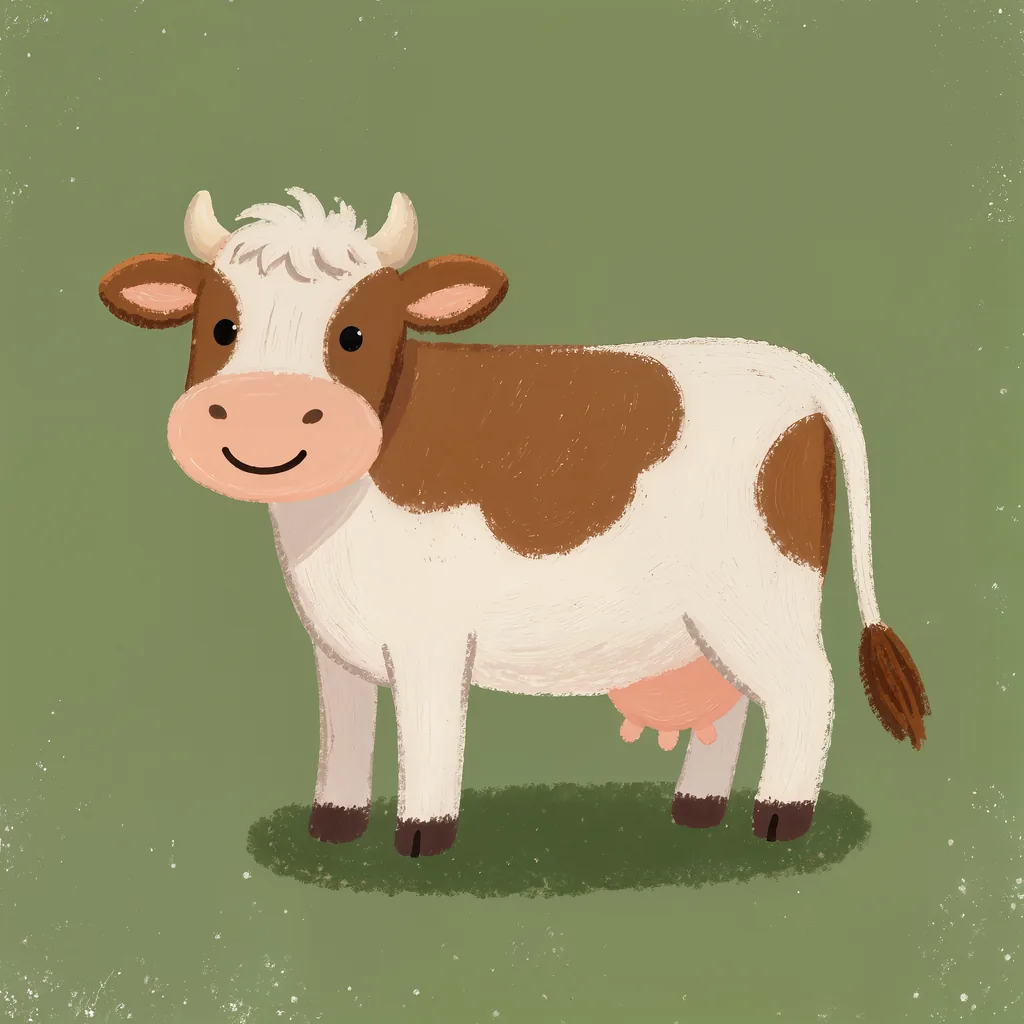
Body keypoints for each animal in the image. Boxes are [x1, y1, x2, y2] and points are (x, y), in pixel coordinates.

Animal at [97, 187, 930, 858]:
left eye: (354, 334)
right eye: (221, 326)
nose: (262, 412)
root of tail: (800, 372)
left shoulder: (431, 636)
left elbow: (430, 732)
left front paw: (422, 835)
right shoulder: (336, 644)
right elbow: (346, 730)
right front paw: (333, 826)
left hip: (761, 594)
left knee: (804, 691)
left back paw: (780, 817)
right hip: (707, 616)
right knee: (732, 700)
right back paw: (695, 810)